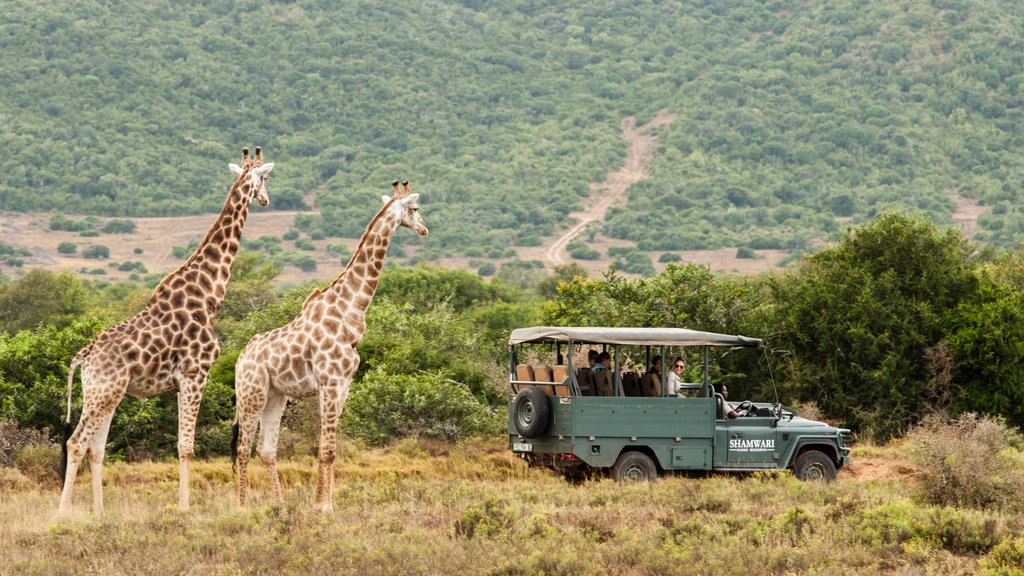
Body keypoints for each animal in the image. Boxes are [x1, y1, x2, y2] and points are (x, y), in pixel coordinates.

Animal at [58, 145, 276, 512]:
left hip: (105, 393)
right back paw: (63, 513)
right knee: (76, 442)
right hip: (104, 392)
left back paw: (99, 512)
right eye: (265, 178)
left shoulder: (180, 382)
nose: (265, 200)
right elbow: (186, 446)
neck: (208, 294)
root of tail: (83, 356)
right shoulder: (195, 373)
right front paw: (185, 507)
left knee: (95, 447)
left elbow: (181, 444)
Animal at [232, 180, 428, 510]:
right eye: (414, 208)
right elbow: (326, 449)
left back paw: (280, 506)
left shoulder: (344, 385)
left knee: (266, 449)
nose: (425, 229)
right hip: (251, 393)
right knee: (243, 448)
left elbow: (329, 448)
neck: (350, 311)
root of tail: (240, 359)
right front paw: (324, 506)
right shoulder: (330, 381)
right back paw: (243, 507)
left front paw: (322, 503)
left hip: (275, 396)